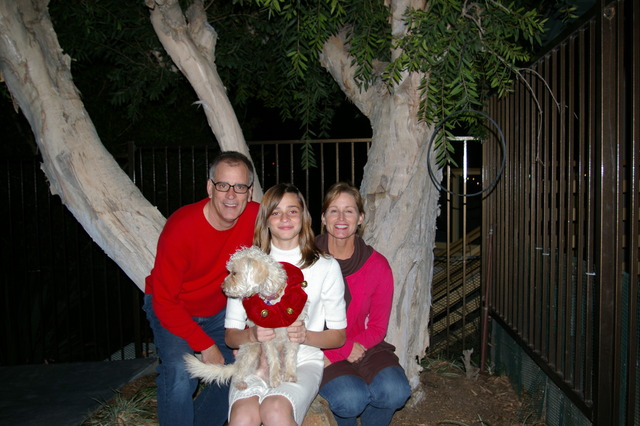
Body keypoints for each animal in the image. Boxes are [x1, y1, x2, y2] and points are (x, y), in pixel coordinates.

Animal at [184, 246, 308, 389]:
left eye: (234, 273)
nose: (222, 287)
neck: (274, 300)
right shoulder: (267, 337)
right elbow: (273, 358)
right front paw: (275, 378)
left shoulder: (294, 332)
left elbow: (291, 357)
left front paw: (290, 375)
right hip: (252, 349)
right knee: (239, 372)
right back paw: (241, 383)